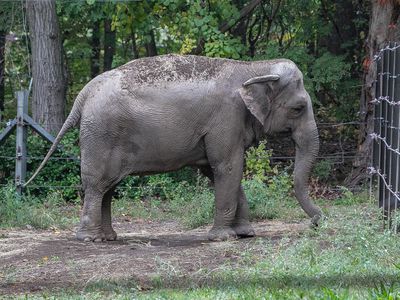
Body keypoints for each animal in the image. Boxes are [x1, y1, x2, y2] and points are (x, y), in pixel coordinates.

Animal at [25, 54, 322, 241]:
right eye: (298, 108)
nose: (317, 222)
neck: (253, 68)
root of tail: (83, 94)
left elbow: (220, 170)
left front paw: (245, 234)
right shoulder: (226, 119)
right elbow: (228, 167)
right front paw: (223, 238)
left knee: (108, 187)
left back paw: (108, 237)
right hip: (101, 135)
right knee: (97, 185)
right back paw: (90, 240)